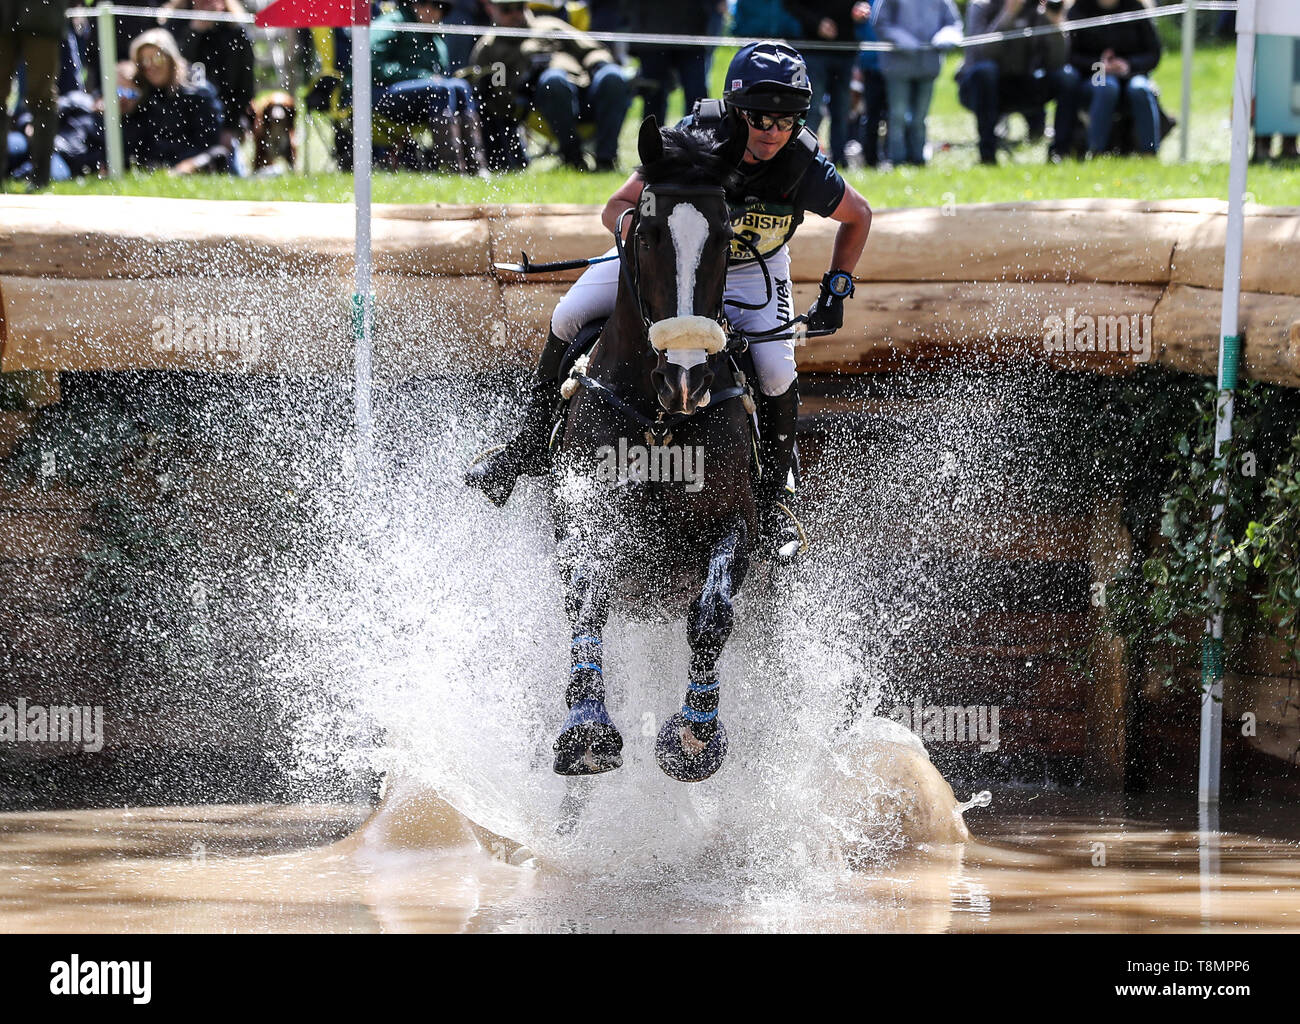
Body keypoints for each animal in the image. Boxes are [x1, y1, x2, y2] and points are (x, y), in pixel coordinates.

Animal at [546, 118, 759, 784]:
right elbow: (587, 594)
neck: (662, 423)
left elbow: (713, 613)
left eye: (727, 237)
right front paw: (587, 729)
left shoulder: (734, 519)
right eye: (647, 233)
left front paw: (695, 736)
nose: (686, 378)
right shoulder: (583, 515)